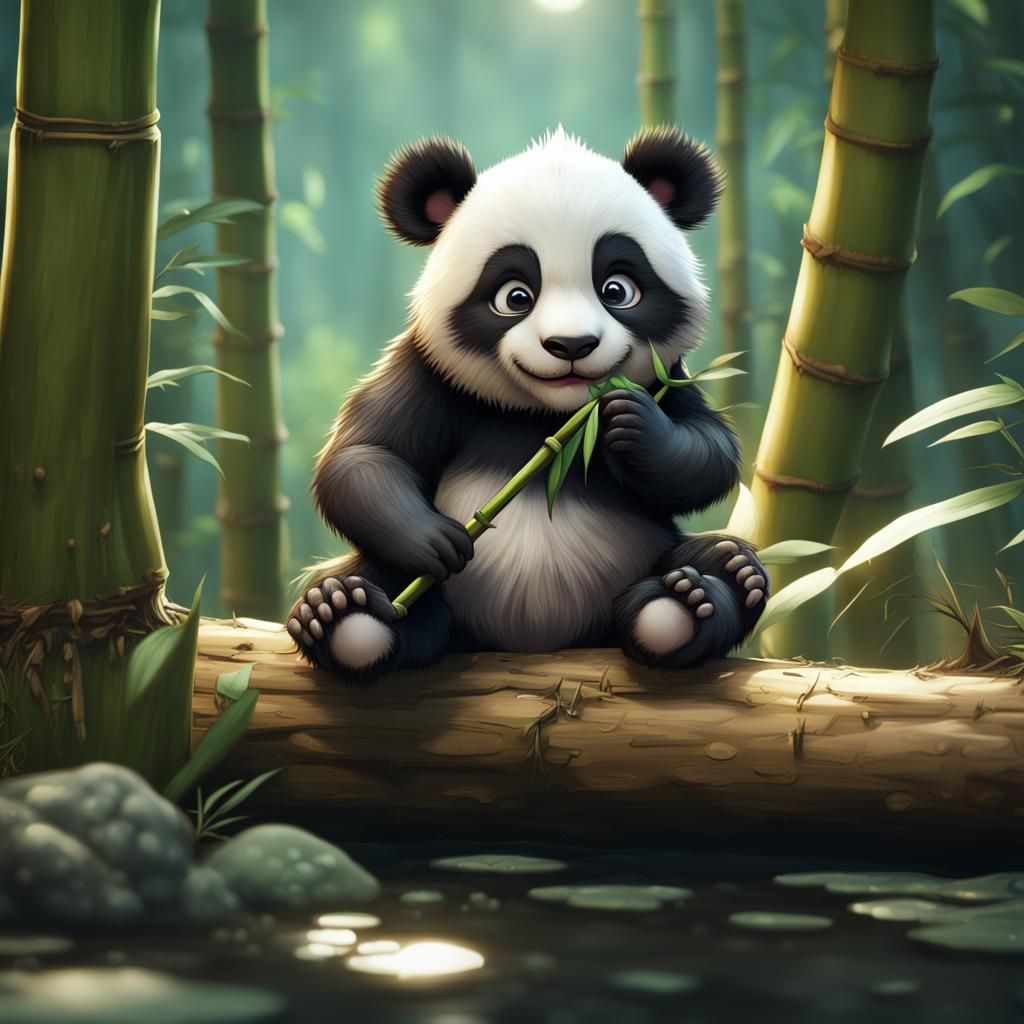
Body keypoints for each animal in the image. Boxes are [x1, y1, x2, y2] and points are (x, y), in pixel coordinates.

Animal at [287, 126, 768, 682]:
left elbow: (708, 453)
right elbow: (363, 456)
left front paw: (633, 423)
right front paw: (434, 540)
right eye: (515, 295)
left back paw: (695, 594)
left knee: (719, 562)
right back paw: (342, 614)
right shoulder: (430, 373)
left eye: (617, 289)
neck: (550, 415)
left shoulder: (671, 377)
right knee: (384, 584)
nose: (571, 344)